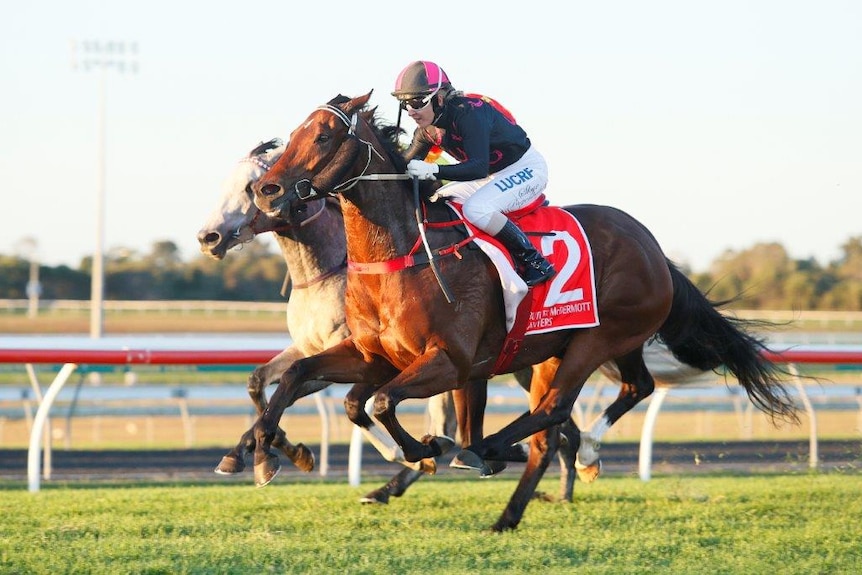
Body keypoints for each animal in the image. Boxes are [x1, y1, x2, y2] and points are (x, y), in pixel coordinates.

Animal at [241, 93, 796, 532]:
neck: (401, 253)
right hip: (568, 346)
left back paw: (498, 453)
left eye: (324, 136)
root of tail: (654, 249)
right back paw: (520, 493)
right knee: (618, 395)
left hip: (595, 341)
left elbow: (378, 403)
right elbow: (310, 381)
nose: (266, 190)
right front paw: (265, 452)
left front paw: (426, 448)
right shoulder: (372, 355)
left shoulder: (450, 361)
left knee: (553, 412)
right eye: (294, 133)